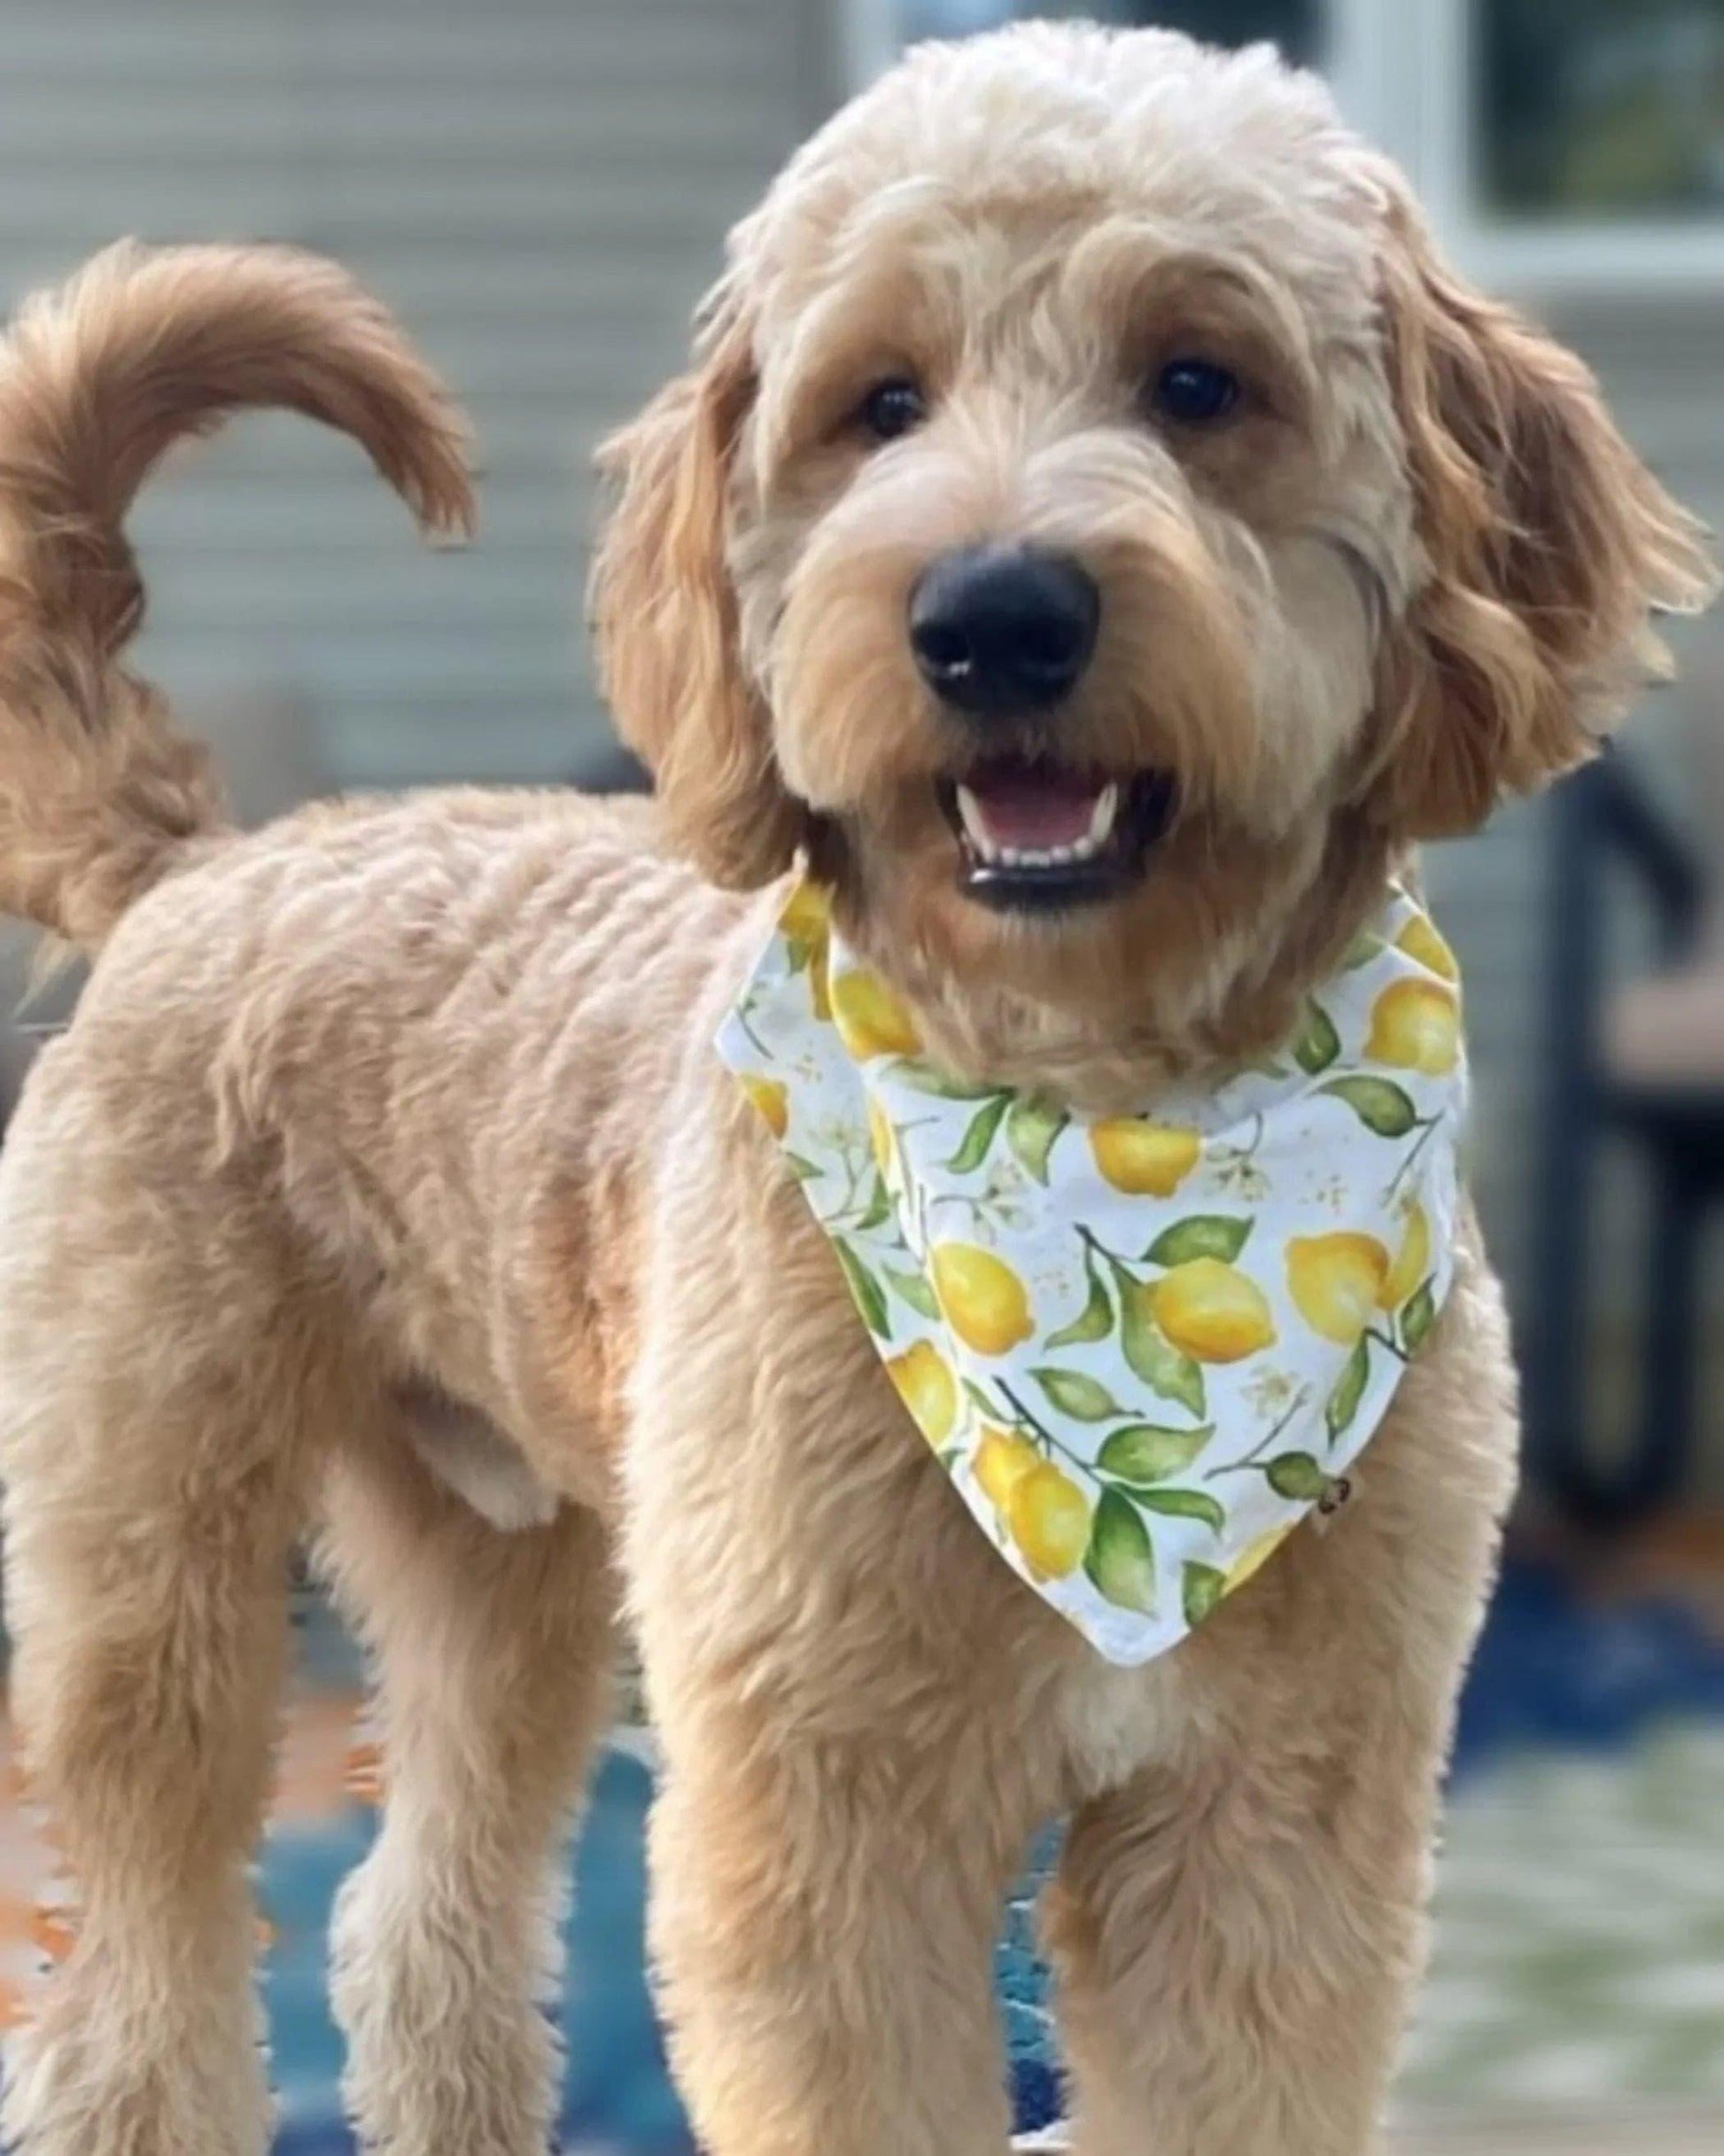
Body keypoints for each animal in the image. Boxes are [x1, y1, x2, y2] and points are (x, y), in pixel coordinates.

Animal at [0, 20, 1706, 2156]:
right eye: (877, 405)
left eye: (1198, 379)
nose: (993, 615)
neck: (1088, 1111)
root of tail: (205, 858)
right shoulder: (825, 1827)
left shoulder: (1267, 1828)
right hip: (153, 1573)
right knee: (133, 1969)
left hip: (504, 1576)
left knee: (413, 1916)